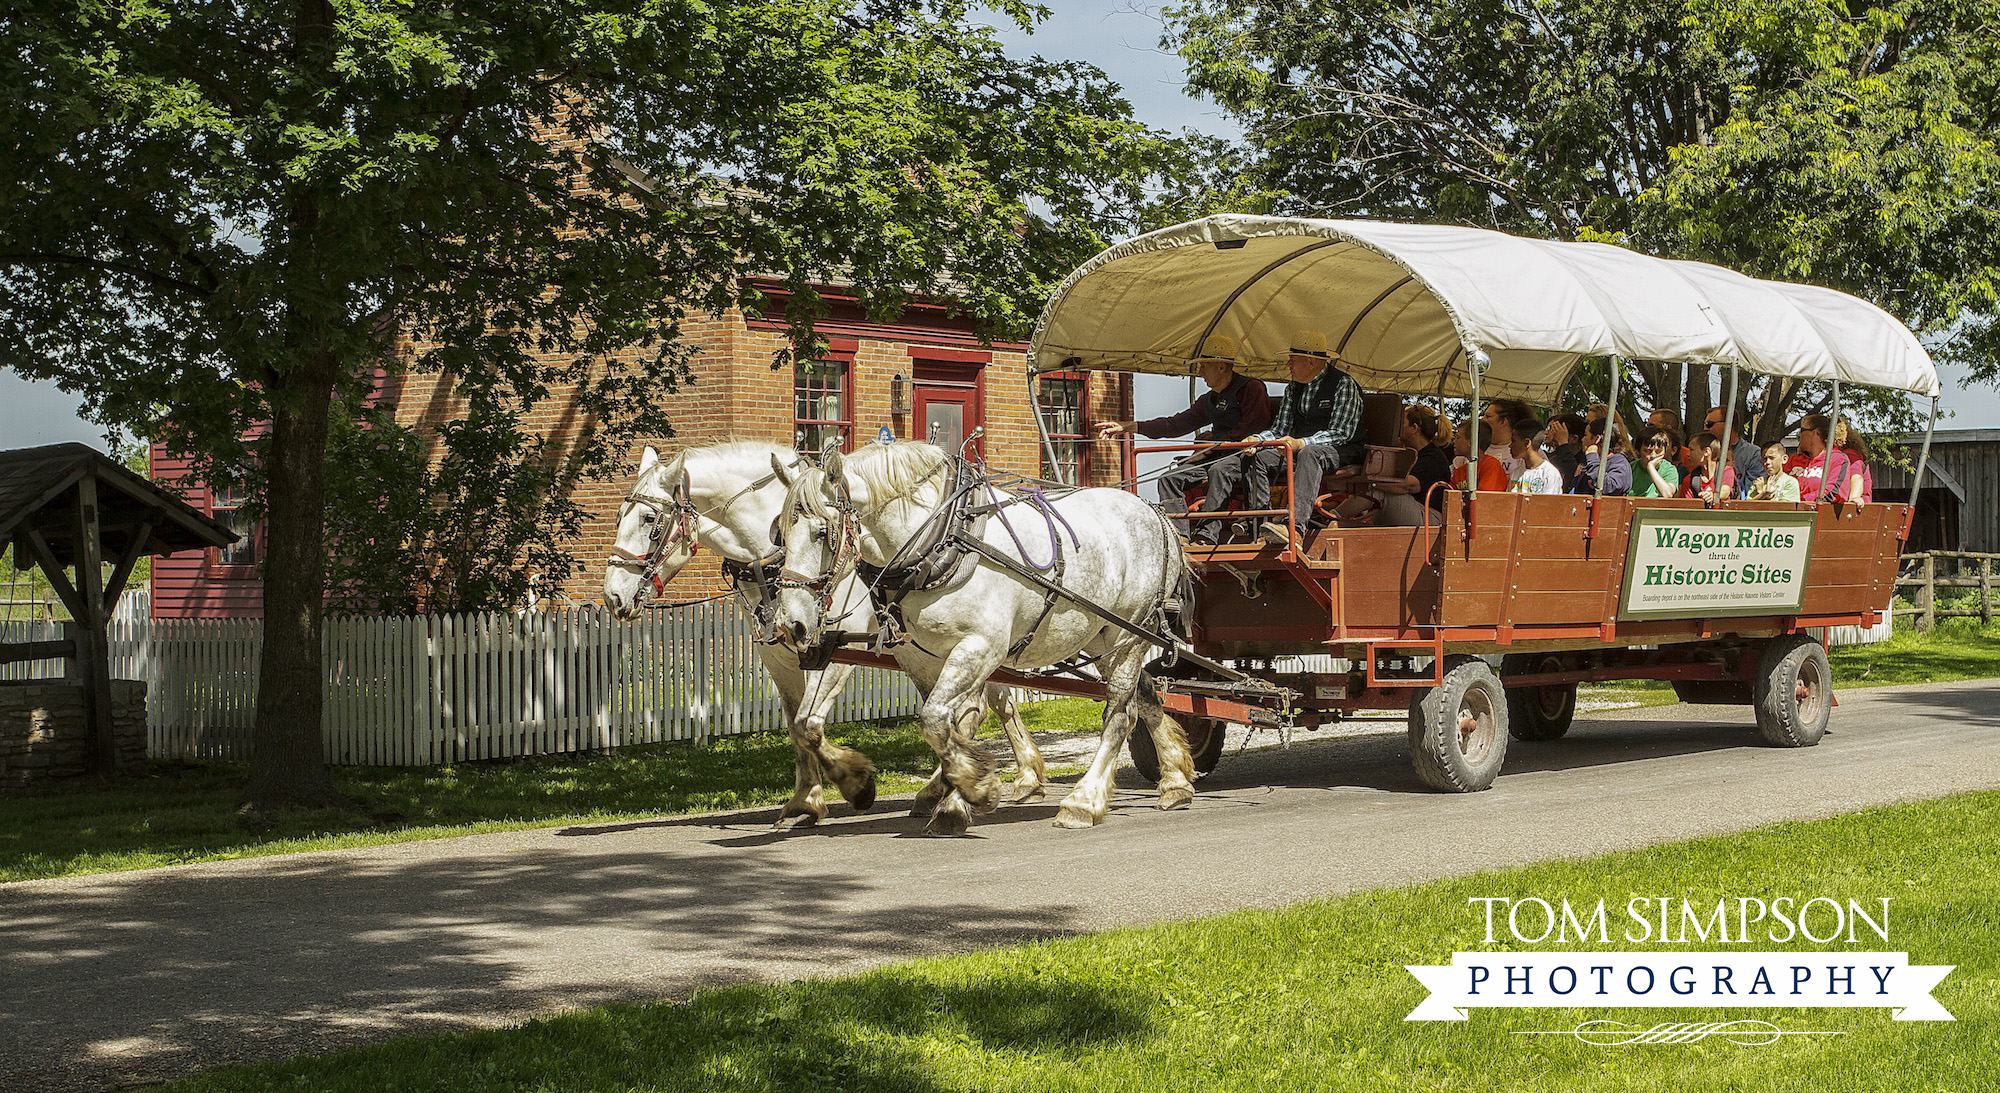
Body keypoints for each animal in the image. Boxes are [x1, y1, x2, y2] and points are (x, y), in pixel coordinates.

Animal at [596, 438, 1048, 820]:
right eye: (617, 516)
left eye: (651, 519)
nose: (613, 597)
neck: (774, 560)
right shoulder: (779, 655)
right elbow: (795, 728)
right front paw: (806, 799)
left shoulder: (835, 652)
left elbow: (808, 724)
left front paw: (856, 783)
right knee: (982, 705)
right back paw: (978, 782)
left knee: (984, 705)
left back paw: (1000, 780)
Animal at [772, 438, 1192, 828]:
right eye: (780, 534)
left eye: (821, 532)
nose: (790, 624)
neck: (943, 538)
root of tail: (1155, 514)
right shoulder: (920, 656)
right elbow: (814, 725)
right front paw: (865, 784)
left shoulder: (981, 646)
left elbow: (937, 720)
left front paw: (974, 788)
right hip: (1104, 637)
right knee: (1146, 697)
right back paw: (1175, 781)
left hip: (1128, 636)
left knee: (1120, 714)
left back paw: (1083, 801)